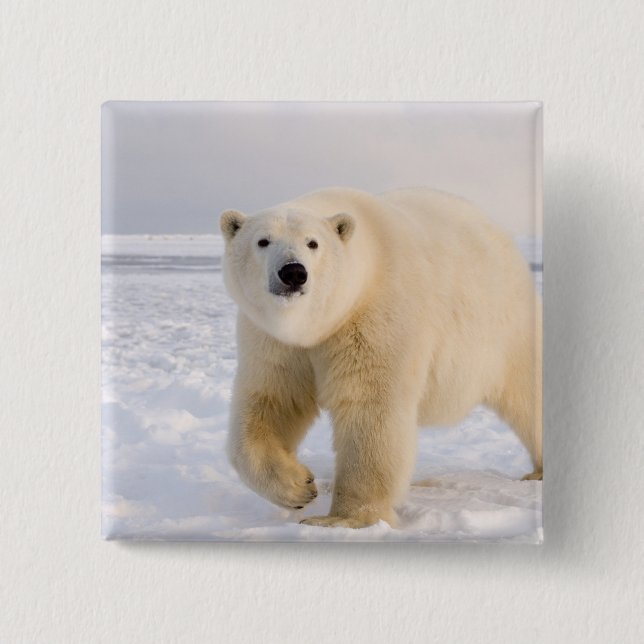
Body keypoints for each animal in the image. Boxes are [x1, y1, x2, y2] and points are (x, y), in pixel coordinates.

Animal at [219, 187, 542, 529]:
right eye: (263, 241)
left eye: (313, 242)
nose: (293, 272)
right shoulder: (274, 341)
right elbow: (272, 401)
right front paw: (299, 486)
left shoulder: (376, 317)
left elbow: (369, 408)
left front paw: (342, 519)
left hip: (506, 328)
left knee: (528, 392)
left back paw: (537, 471)